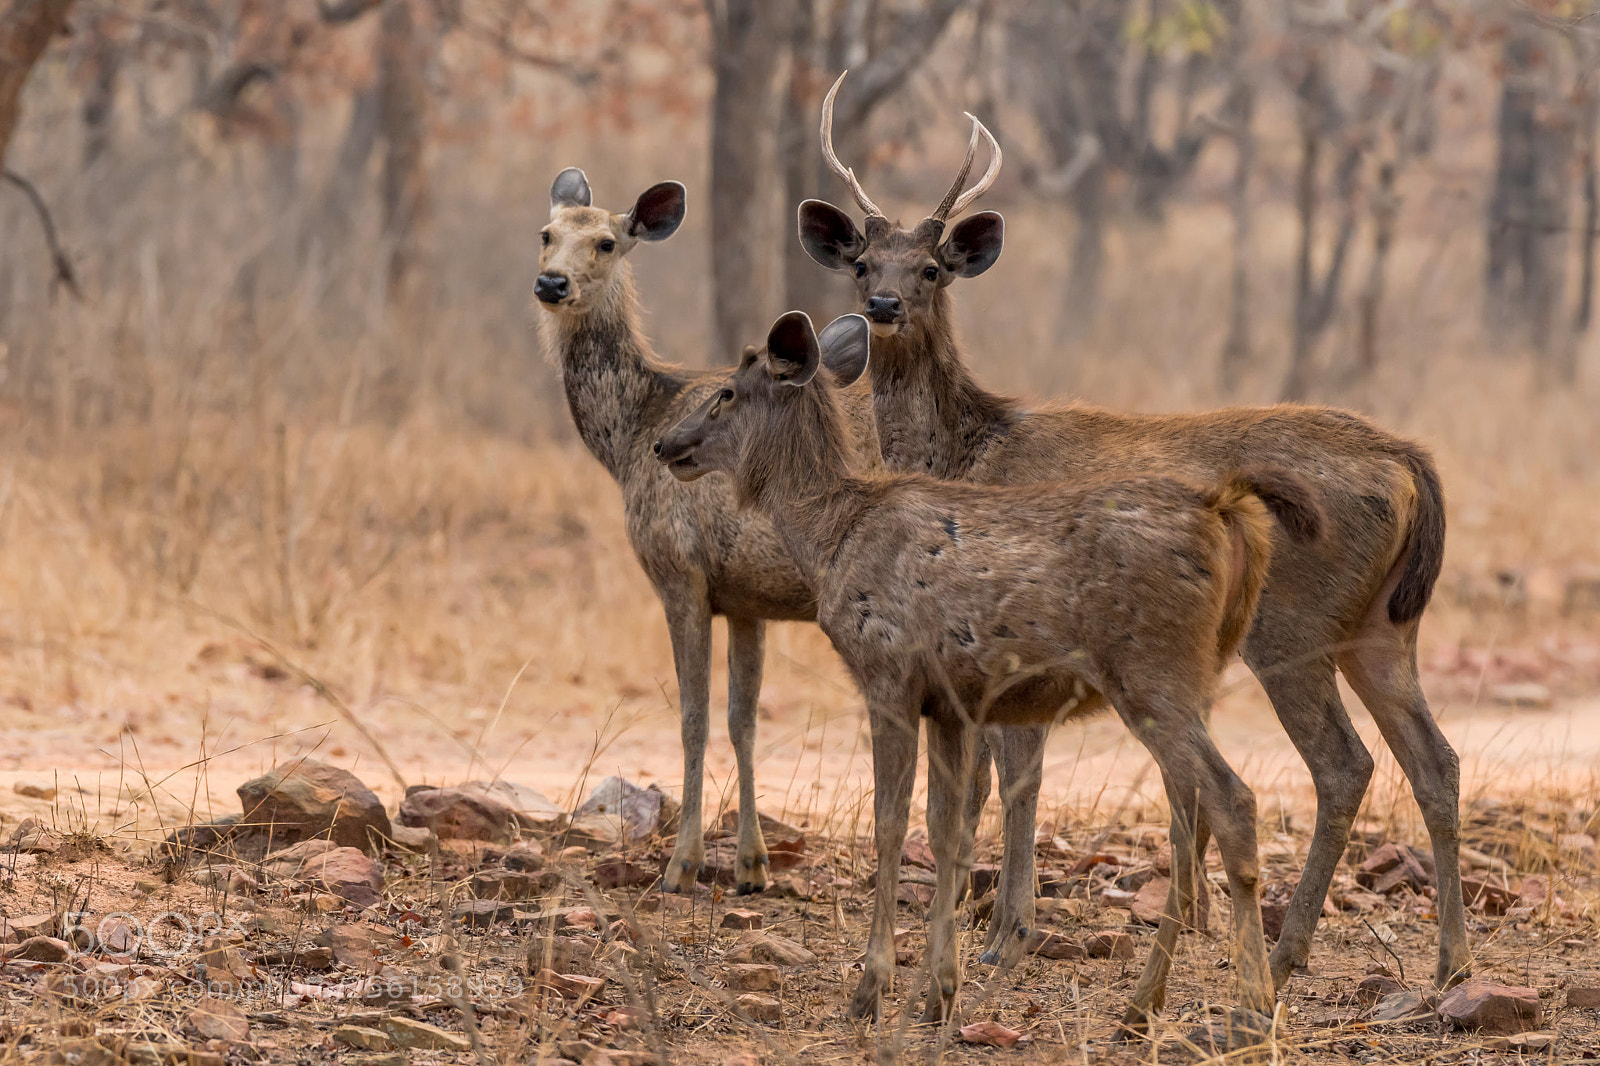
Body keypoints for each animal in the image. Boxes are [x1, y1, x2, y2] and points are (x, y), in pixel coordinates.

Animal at [531, 166, 888, 897]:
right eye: (545, 232)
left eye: (607, 242)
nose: (551, 283)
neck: (631, 435)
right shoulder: (748, 600)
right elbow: (742, 720)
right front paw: (752, 865)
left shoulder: (679, 572)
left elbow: (693, 718)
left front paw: (682, 864)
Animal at [653, 309, 1327, 1035]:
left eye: (726, 392)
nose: (665, 444)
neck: (830, 539)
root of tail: (1223, 511)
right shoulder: (951, 703)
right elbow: (948, 831)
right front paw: (938, 993)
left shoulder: (887, 676)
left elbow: (891, 826)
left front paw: (871, 990)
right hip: (1181, 681)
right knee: (1190, 814)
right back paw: (1143, 1004)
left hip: (1153, 672)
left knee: (1230, 800)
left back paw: (1250, 1007)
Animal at [797, 71, 1466, 997]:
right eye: (863, 260)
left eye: (931, 268)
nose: (883, 305)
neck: (970, 451)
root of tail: (1408, 460)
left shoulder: (1012, 630)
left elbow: (1015, 778)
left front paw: (1003, 933)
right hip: (1383, 624)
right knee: (1435, 759)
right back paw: (1448, 961)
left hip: (1293, 625)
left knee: (1344, 764)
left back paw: (1287, 952)